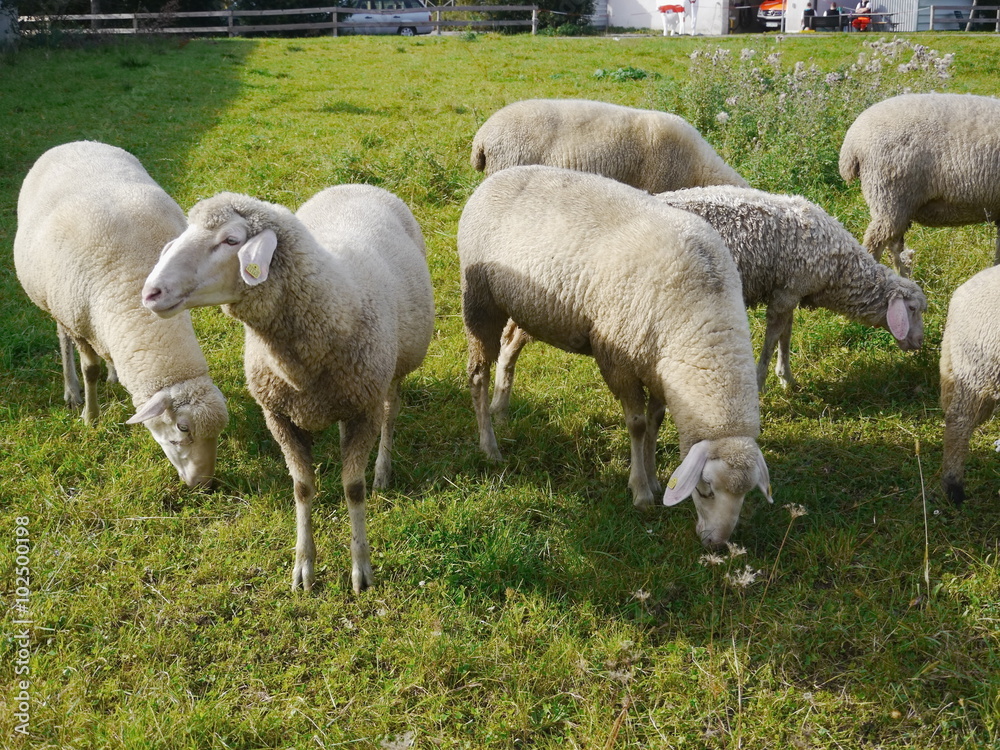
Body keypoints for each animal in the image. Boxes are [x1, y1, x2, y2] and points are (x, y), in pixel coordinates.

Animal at [13, 140, 228, 488]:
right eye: (182, 428)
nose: (204, 485)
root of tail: (75, 142)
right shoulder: (79, 323)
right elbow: (90, 369)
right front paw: (91, 417)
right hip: (54, 302)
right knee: (62, 339)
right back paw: (72, 391)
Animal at [140, 186, 435, 593]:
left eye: (231, 240)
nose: (151, 292)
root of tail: (356, 185)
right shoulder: (278, 416)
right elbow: (302, 488)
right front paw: (303, 569)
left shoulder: (364, 406)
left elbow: (353, 489)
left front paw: (361, 570)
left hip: (391, 373)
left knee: (390, 414)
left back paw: (382, 471)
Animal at [459, 165, 772, 550]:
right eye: (705, 490)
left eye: (745, 495)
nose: (717, 544)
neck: (701, 315)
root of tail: (495, 177)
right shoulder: (618, 359)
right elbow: (637, 425)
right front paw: (641, 491)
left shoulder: (659, 368)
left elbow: (655, 421)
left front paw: (654, 477)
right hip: (480, 300)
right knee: (478, 373)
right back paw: (489, 446)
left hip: (527, 305)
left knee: (510, 344)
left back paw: (501, 410)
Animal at [491, 186, 927, 408]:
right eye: (914, 310)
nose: (920, 345)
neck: (838, 269)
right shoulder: (786, 292)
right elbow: (772, 338)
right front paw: (762, 382)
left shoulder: (787, 290)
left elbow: (786, 336)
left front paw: (787, 377)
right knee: (512, 336)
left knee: (511, 333)